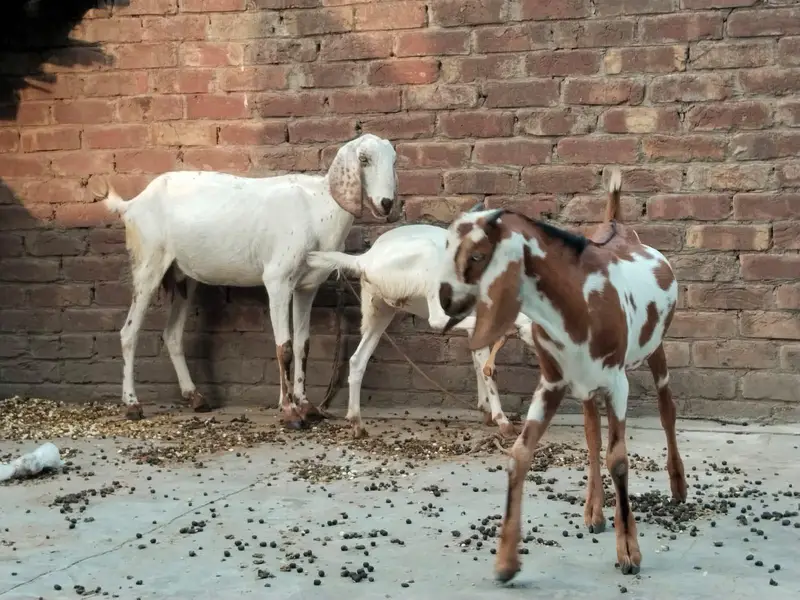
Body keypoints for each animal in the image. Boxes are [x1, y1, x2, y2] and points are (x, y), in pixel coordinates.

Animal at [93, 133, 398, 428]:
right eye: (364, 159)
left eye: (394, 160)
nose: (387, 204)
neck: (317, 206)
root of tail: (132, 204)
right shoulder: (278, 280)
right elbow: (284, 348)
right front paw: (290, 412)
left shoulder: (306, 287)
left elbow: (303, 345)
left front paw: (306, 406)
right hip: (148, 263)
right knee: (129, 332)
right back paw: (132, 404)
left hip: (184, 278)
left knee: (172, 334)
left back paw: (195, 397)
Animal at [307, 223, 533, 439]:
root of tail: (363, 260)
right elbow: (488, 370)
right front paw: (503, 422)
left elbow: (481, 366)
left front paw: (487, 412)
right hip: (428, 262)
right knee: (437, 320)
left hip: (379, 310)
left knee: (357, 360)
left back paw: (357, 423)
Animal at [438, 169, 687, 583]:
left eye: (477, 255)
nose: (444, 300)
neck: (579, 300)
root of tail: (618, 224)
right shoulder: (552, 382)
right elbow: (521, 453)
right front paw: (506, 561)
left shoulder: (617, 382)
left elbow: (618, 458)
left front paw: (629, 553)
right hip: (585, 385)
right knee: (590, 431)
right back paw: (594, 511)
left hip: (655, 349)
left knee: (667, 408)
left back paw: (678, 486)